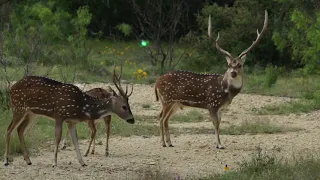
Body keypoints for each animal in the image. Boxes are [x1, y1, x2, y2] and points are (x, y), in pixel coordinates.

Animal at [4, 64, 134, 167]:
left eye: (129, 104)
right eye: (124, 106)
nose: (132, 120)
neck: (81, 107)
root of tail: (11, 88)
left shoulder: (71, 121)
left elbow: (75, 140)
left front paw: (82, 162)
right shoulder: (59, 115)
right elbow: (57, 138)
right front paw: (54, 163)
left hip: (32, 114)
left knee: (20, 130)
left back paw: (28, 160)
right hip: (18, 108)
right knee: (9, 129)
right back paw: (6, 160)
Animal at [154, 9, 268, 148]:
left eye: (240, 65)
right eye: (229, 65)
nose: (233, 73)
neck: (226, 90)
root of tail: (156, 82)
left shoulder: (221, 108)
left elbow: (219, 124)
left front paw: (219, 143)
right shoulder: (212, 104)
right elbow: (216, 124)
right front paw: (219, 144)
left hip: (174, 103)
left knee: (165, 118)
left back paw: (170, 142)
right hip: (167, 99)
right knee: (161, 117)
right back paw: (163, 143)